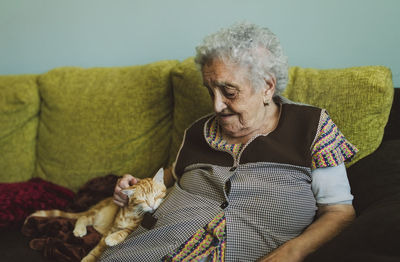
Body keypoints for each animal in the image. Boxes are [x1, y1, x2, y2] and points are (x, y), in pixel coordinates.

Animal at [26, 169, 167, 260]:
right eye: (143, 199)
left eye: (156, 195)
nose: (152, 205)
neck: (131, 213)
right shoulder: (111, 228)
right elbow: (98, 248)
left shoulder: (133, 228)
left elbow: (124, 231)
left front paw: (113, 238)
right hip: (97, 213)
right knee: (83, 217)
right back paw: (80, 230)